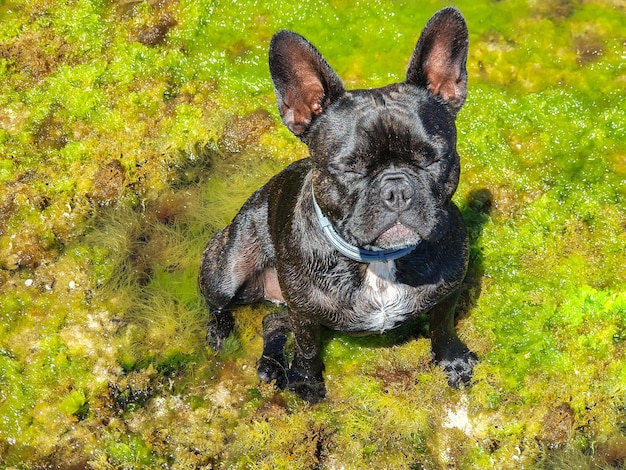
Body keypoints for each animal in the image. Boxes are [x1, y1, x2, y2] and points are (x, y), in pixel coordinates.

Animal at [197, 7, 476, 402]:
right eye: (350, 167)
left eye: (432, 159)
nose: (397, 190)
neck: (380, 262)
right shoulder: (304, 313)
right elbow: (308, 348)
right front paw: (306, 382)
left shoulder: (448, 290)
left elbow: (443, 327)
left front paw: (452, 362)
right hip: (227, 270)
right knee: (219, 303)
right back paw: (222, 335)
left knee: (273, 319)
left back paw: (270, 365)